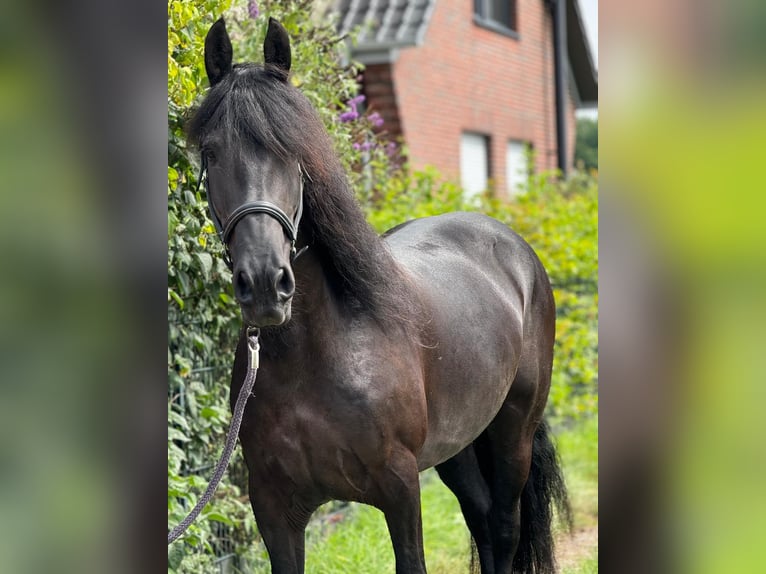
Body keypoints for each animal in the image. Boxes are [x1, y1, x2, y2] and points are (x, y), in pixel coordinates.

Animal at [187, 18, 568, 574]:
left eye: (293, 151)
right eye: (211, 152)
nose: (263, 284)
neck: (319, 354)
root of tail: (514, 247)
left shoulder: (400, 490)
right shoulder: (274, 510)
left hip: (513, 430)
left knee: (503, 525)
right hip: (458, 445)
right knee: (481, 519)